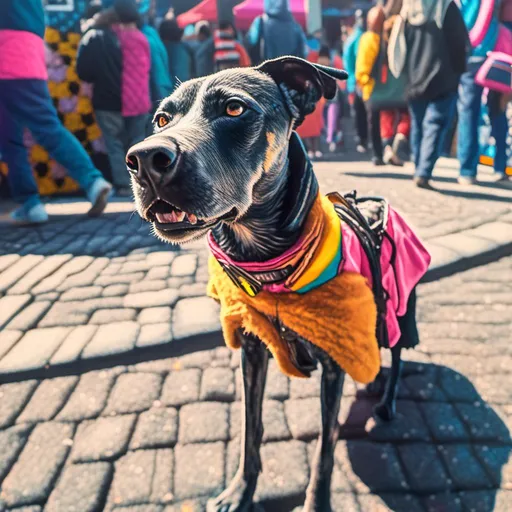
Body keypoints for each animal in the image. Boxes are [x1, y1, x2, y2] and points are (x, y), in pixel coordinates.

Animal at [126, 57, 430, 512]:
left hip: (400, 307)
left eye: (234, 108)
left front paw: (316, 503)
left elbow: (324, 450)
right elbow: (250, 431)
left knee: (396, 356)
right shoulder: (251, 352)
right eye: (162, 119)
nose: (143, 159)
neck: (270, 268)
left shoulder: (332, 367)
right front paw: (240, 491)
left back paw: (387, 401)